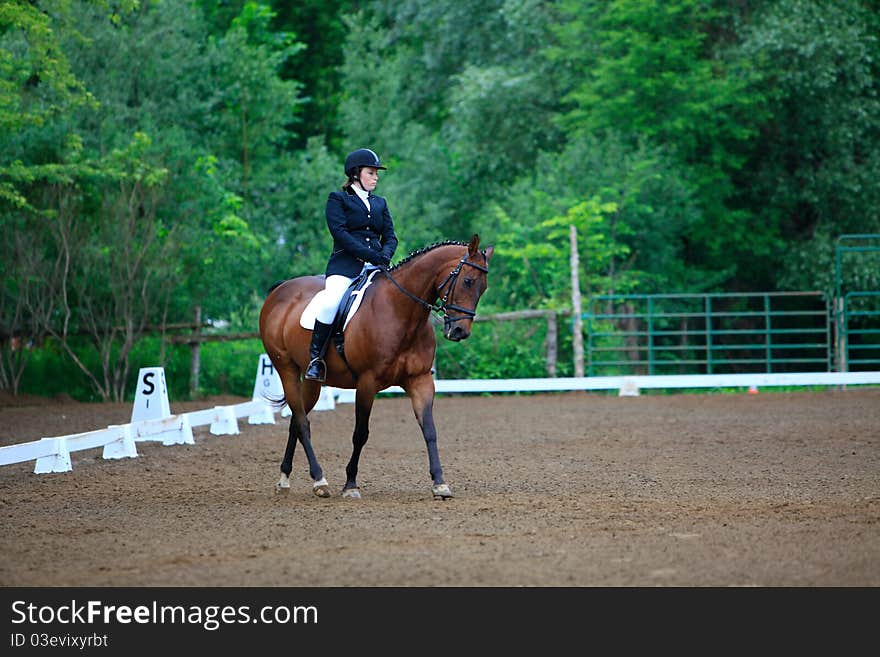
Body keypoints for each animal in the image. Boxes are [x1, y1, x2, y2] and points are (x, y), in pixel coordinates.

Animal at [260, 234, 496, 498]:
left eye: (483, 288)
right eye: (467, 281)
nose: (459, 331)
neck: (400, 311)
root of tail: (281, 289)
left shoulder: (421, 380)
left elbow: (430, 430)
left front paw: (440, 483)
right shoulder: (367, 383)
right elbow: (360, 434)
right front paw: (350, 484)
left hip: (313, 381)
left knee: (296, 420)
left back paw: (285, 479)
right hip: (286, 368)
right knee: (301, 422)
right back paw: (320, 480)